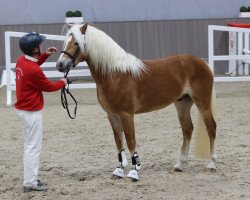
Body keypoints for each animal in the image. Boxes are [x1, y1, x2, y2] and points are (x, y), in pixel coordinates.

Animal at [56, 23, 217, 181]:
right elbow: (119, 142)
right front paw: (119, 170)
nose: (60, 65)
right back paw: (179, 165)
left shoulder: (126, 114)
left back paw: (211, 164)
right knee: (187, 129)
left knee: (211, 128)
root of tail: (202, 63)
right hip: (182, 104)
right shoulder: (112, 115)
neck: (114, 74)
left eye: (76, 43)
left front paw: (134, 171)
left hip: (203, 103)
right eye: (66, 42)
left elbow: (130, 140)